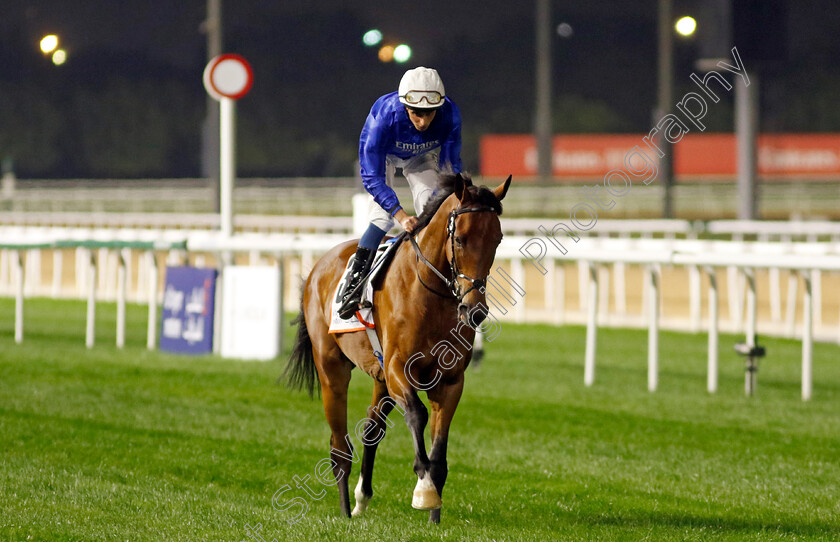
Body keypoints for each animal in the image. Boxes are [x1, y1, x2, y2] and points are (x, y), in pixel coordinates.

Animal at [284, 173, 512, 524]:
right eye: (460, 239)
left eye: (497, 239)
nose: (475, 309)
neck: (431, 293)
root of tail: (318, 268)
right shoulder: (398, 368)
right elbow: (417, 414)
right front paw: (424, 488)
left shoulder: (449, 380)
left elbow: (439, 448)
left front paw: (435, 517)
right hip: (332, 369)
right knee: (339, 447)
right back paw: (345, 512)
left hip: (380, 377)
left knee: (371, 426)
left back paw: (361, 498)